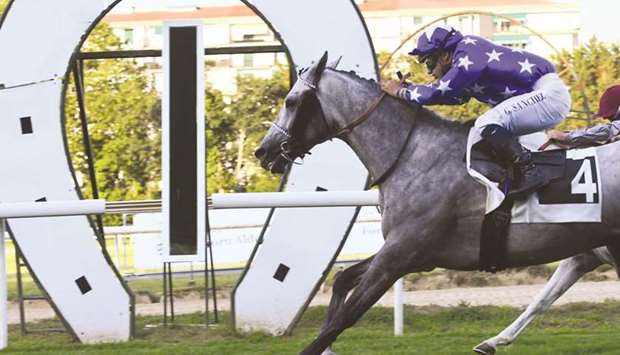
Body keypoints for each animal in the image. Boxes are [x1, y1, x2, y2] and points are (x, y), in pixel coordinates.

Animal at [254, 52, 620, 355]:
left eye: (291, 101)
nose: (263, 151)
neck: (412, 155)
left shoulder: (400, 255)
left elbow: (341, 320)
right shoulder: (408, 253)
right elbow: (342, 280)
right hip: (593, 249)